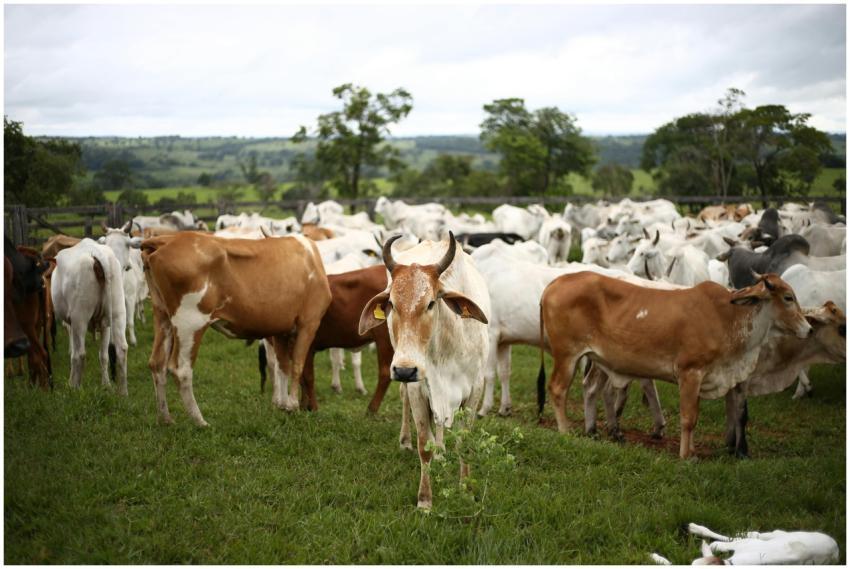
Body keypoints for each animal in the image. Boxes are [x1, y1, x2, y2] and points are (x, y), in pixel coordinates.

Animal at [52, 238, 128, 394]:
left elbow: (73, 352)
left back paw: (75, 388)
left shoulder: (71, 324)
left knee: (80, 354)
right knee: (121, 349)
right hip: (118, 312)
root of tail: (97, 253)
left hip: (80, 317)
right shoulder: (105, 326)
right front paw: (106, 385)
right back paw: (122, 393)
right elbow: (103, 355)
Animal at [141, 231, 331, 425]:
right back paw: (200, 421)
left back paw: (165, 418)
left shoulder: (281, 330)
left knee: (157, 364)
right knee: (181, 370)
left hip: (162, 315)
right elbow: (298, 365)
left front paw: (283, 405)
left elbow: (283, 366)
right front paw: (293, 406)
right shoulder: (309, 322)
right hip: (189, 322)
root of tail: (167, 239)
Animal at [358, 233, 490, 509]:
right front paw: (425, 500)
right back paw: (406, 441)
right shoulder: (418, 387)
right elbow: (424, 445)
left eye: (430, 303)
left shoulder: (475, 388)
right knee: (406, 401)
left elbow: (464, 441)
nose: (404, 370)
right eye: (391, 303)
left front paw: (466, 489)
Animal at [539, 271, 811, 458]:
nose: (808, 329)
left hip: (593, 358)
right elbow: (688, 418)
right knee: (557, 389)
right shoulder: (690, 373)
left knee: (588, 389)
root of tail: (555, 283)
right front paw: (685, 456)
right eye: (788, 297)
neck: (728, 318)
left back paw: (592, 431)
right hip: (567, 355)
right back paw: (565, 430)